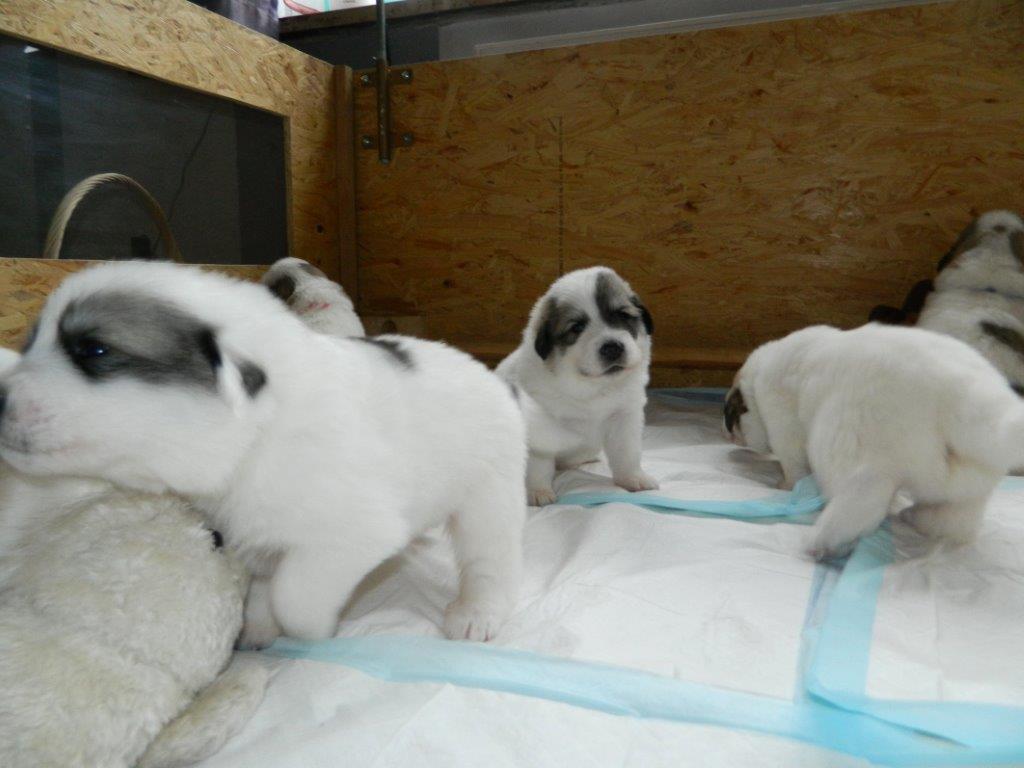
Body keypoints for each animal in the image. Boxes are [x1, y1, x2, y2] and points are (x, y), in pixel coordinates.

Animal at [0, 261, 525, 645]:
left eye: (94, 350)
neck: (256, 438)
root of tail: (492, 374)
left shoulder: (351, 533)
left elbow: (295, 592)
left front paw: (313, 629)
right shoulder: (256, 531)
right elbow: (265, 585)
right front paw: (256, 628)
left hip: (490, 494)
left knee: (489, 560)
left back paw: (477, 614)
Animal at [496, 266, 657, 506]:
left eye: (622, 315)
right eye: (577, 327)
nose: (612, 347)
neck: (590, 389)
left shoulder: (625, 417)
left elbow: (627, 453)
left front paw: (633, 478)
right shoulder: (539, 425)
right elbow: (539, 465)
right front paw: (538, 491)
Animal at [724, 324, 1024, 560]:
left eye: (730, 416)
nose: (729, 434)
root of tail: (962, 391)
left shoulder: (783, 428)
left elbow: (793, 466)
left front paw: (785, 485)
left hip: (840, 445)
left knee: (862, 499)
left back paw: (821, 543)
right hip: (967, 487)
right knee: (955, 523)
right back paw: (912, 517)